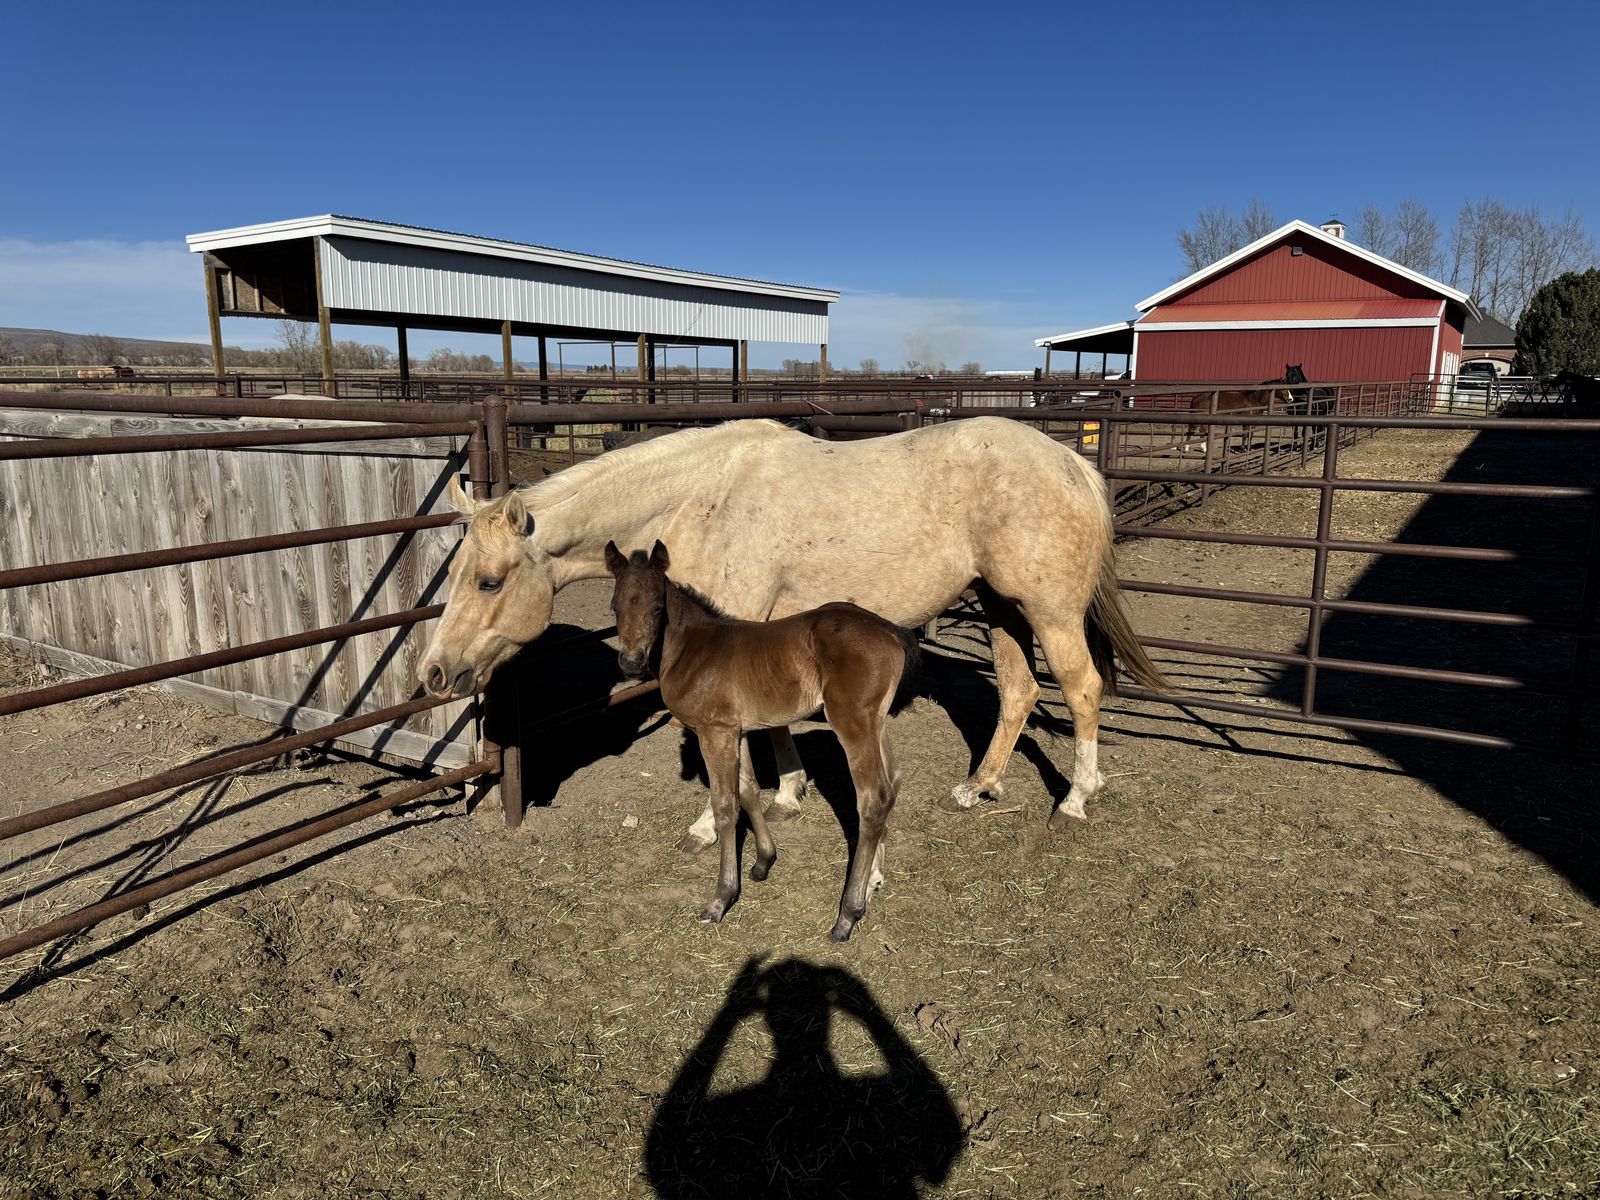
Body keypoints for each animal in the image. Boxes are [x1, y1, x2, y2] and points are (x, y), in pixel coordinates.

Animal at [420, 416, 1166, 848]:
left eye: (488, 582)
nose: (433, 672)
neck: (701, 496)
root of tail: (1075, 465)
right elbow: (773, 719)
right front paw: (787, 793)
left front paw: (713, 819)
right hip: (1001, 605)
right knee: (1017, 692)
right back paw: (978, 786)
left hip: (1048, 610)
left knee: (1080, 687)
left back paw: (1076, 798)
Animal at [606, 540, 917, 940]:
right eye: (615, 606)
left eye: (657, 606)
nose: (630, 663)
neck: (693, 649)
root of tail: (891, 632)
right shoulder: (735, 730)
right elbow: (748, 790)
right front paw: (764, 861)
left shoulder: (714, 731)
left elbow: (726, 807)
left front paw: (721, 898)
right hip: (876, 724)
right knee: (892, 785)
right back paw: (873, 881)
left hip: (853, 723)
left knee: (873, 800)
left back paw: (848, 914)